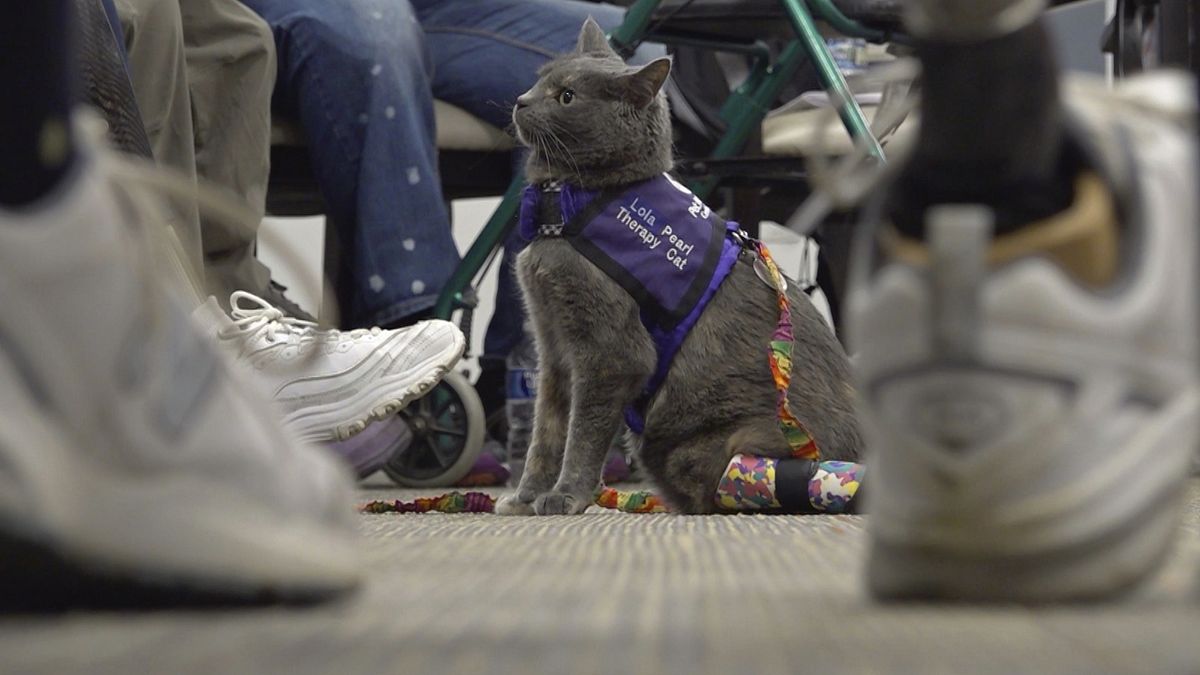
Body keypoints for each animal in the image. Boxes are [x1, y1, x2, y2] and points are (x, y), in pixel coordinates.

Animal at [496, 19, 864, 514]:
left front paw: (566, 496)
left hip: (730, 442)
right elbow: (547, 430)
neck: (568, 205)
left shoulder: (610, 353)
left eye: (567, 96)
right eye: (541, 80)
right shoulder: (552, 343)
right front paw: (525, 497)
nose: (521, 99)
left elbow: (582, 434)